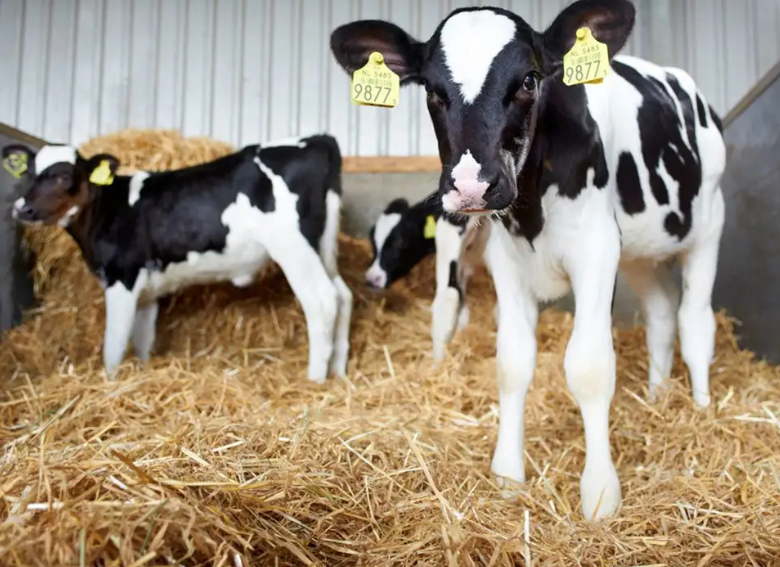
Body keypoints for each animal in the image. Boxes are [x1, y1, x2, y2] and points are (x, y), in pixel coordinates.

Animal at [3, 135, 354, 384]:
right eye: (30, 173)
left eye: (63, 176)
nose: (23, 209)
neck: (111, 209)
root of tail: (315, 140)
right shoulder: (146, 291)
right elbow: (142, 339)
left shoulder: (122, 277)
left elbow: (113, 345)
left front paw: (110, 381)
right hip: (322, 247)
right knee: (343, 295)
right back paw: (338, 370)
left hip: (293, 247)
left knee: (322, 300)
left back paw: (315, 379)